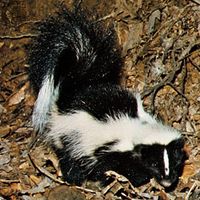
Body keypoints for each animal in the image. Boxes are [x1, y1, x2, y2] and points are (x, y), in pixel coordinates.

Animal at [28, 7, 188, 189]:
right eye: (153, 163)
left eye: (175, 161)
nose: (167, 181)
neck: (138, 126)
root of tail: (69, 95)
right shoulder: (110, 150)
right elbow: (107, 167)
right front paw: (119, 181)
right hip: (70, 138)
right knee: (69, 160)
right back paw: (73, 180)